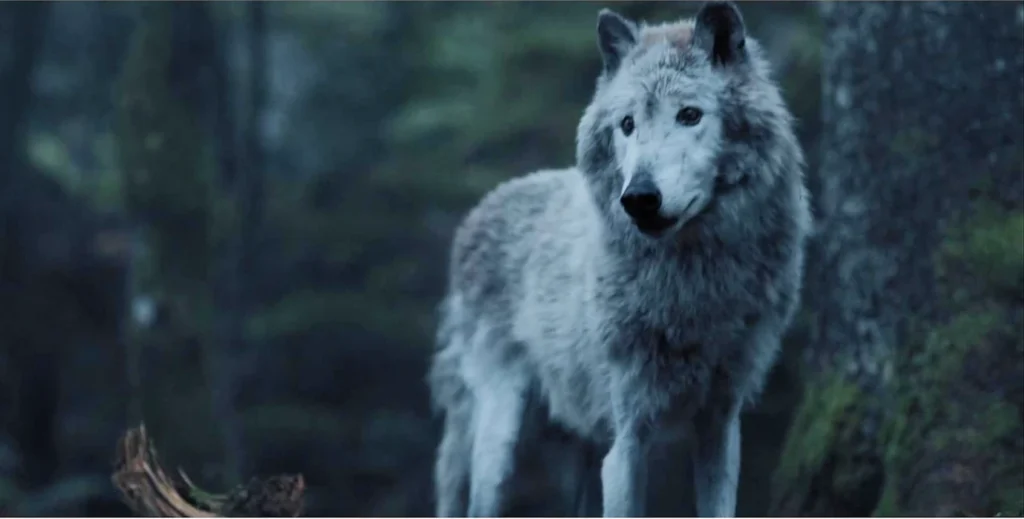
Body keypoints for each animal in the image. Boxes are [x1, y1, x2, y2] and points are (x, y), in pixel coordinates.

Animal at [427, 2, 812, 517]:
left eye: (689, 115)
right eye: (627, 124)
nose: (639, 198)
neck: (691, 285)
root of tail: (483, 206)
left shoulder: (720, 423)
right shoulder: (629, 437)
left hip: (577, 455)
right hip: (503, 442)